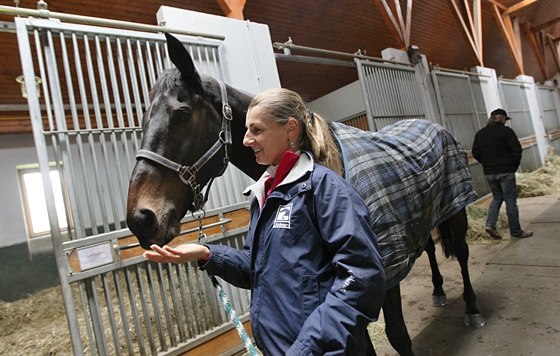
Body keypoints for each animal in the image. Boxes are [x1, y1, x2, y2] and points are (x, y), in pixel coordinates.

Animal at [127, 32, 486, 354]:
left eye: (182, 114)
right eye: (142, 121)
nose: (140, 219)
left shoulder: (385, 271)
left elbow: (397, 334)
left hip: (455, 209)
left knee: (462, 253)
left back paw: (472, 309)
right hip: (422, 215)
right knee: (429, 246)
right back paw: (439, 292)